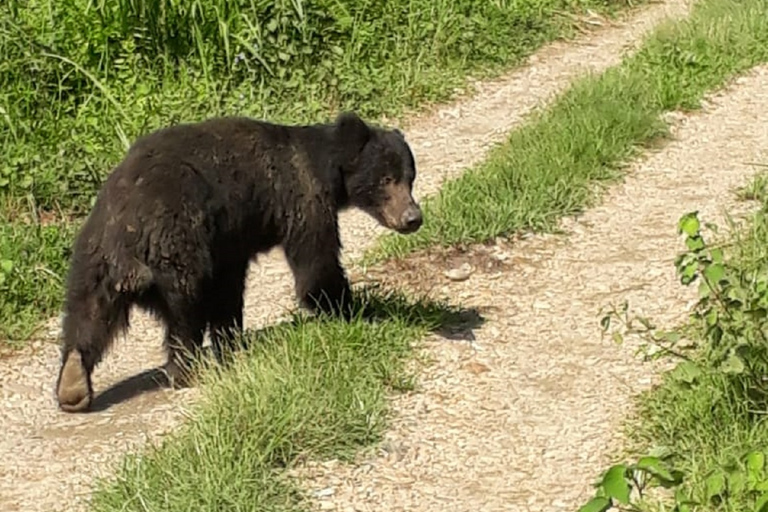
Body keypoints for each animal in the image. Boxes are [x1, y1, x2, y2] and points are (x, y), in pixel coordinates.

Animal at [52, 111, 426, 412]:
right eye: (386, 179)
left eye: (410, 176)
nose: (413, 217)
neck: (329, 174)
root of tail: (128, 239)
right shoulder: (302, 201)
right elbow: (317, 265)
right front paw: (354, 307)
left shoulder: (229, 241)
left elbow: (229, 292)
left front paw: (230, 340)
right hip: (177, 245)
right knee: (184, 311)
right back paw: (183, 369)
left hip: (91, 258)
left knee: (87, 315)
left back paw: (73, 382)